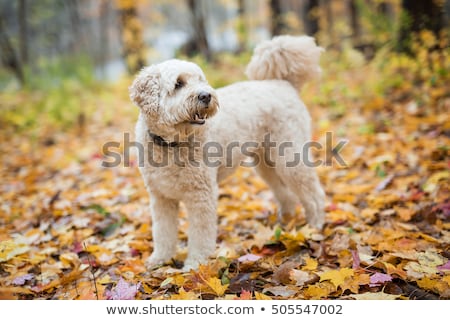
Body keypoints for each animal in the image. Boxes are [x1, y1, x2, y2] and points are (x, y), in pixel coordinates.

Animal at [130, 35, 326, 270]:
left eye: (201, 80)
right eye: (178, 83)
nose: (206, 95)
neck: (171, 144)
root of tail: (284, 84)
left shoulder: (201, 195)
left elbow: (200, 234)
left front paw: (195, 264)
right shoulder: (161, 198)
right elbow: (163, 233)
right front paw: (160, 259)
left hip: (290, 158)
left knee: (313, 193)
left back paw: (315, 226)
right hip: (266, 162)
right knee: (285, 194)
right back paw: (285, 223)